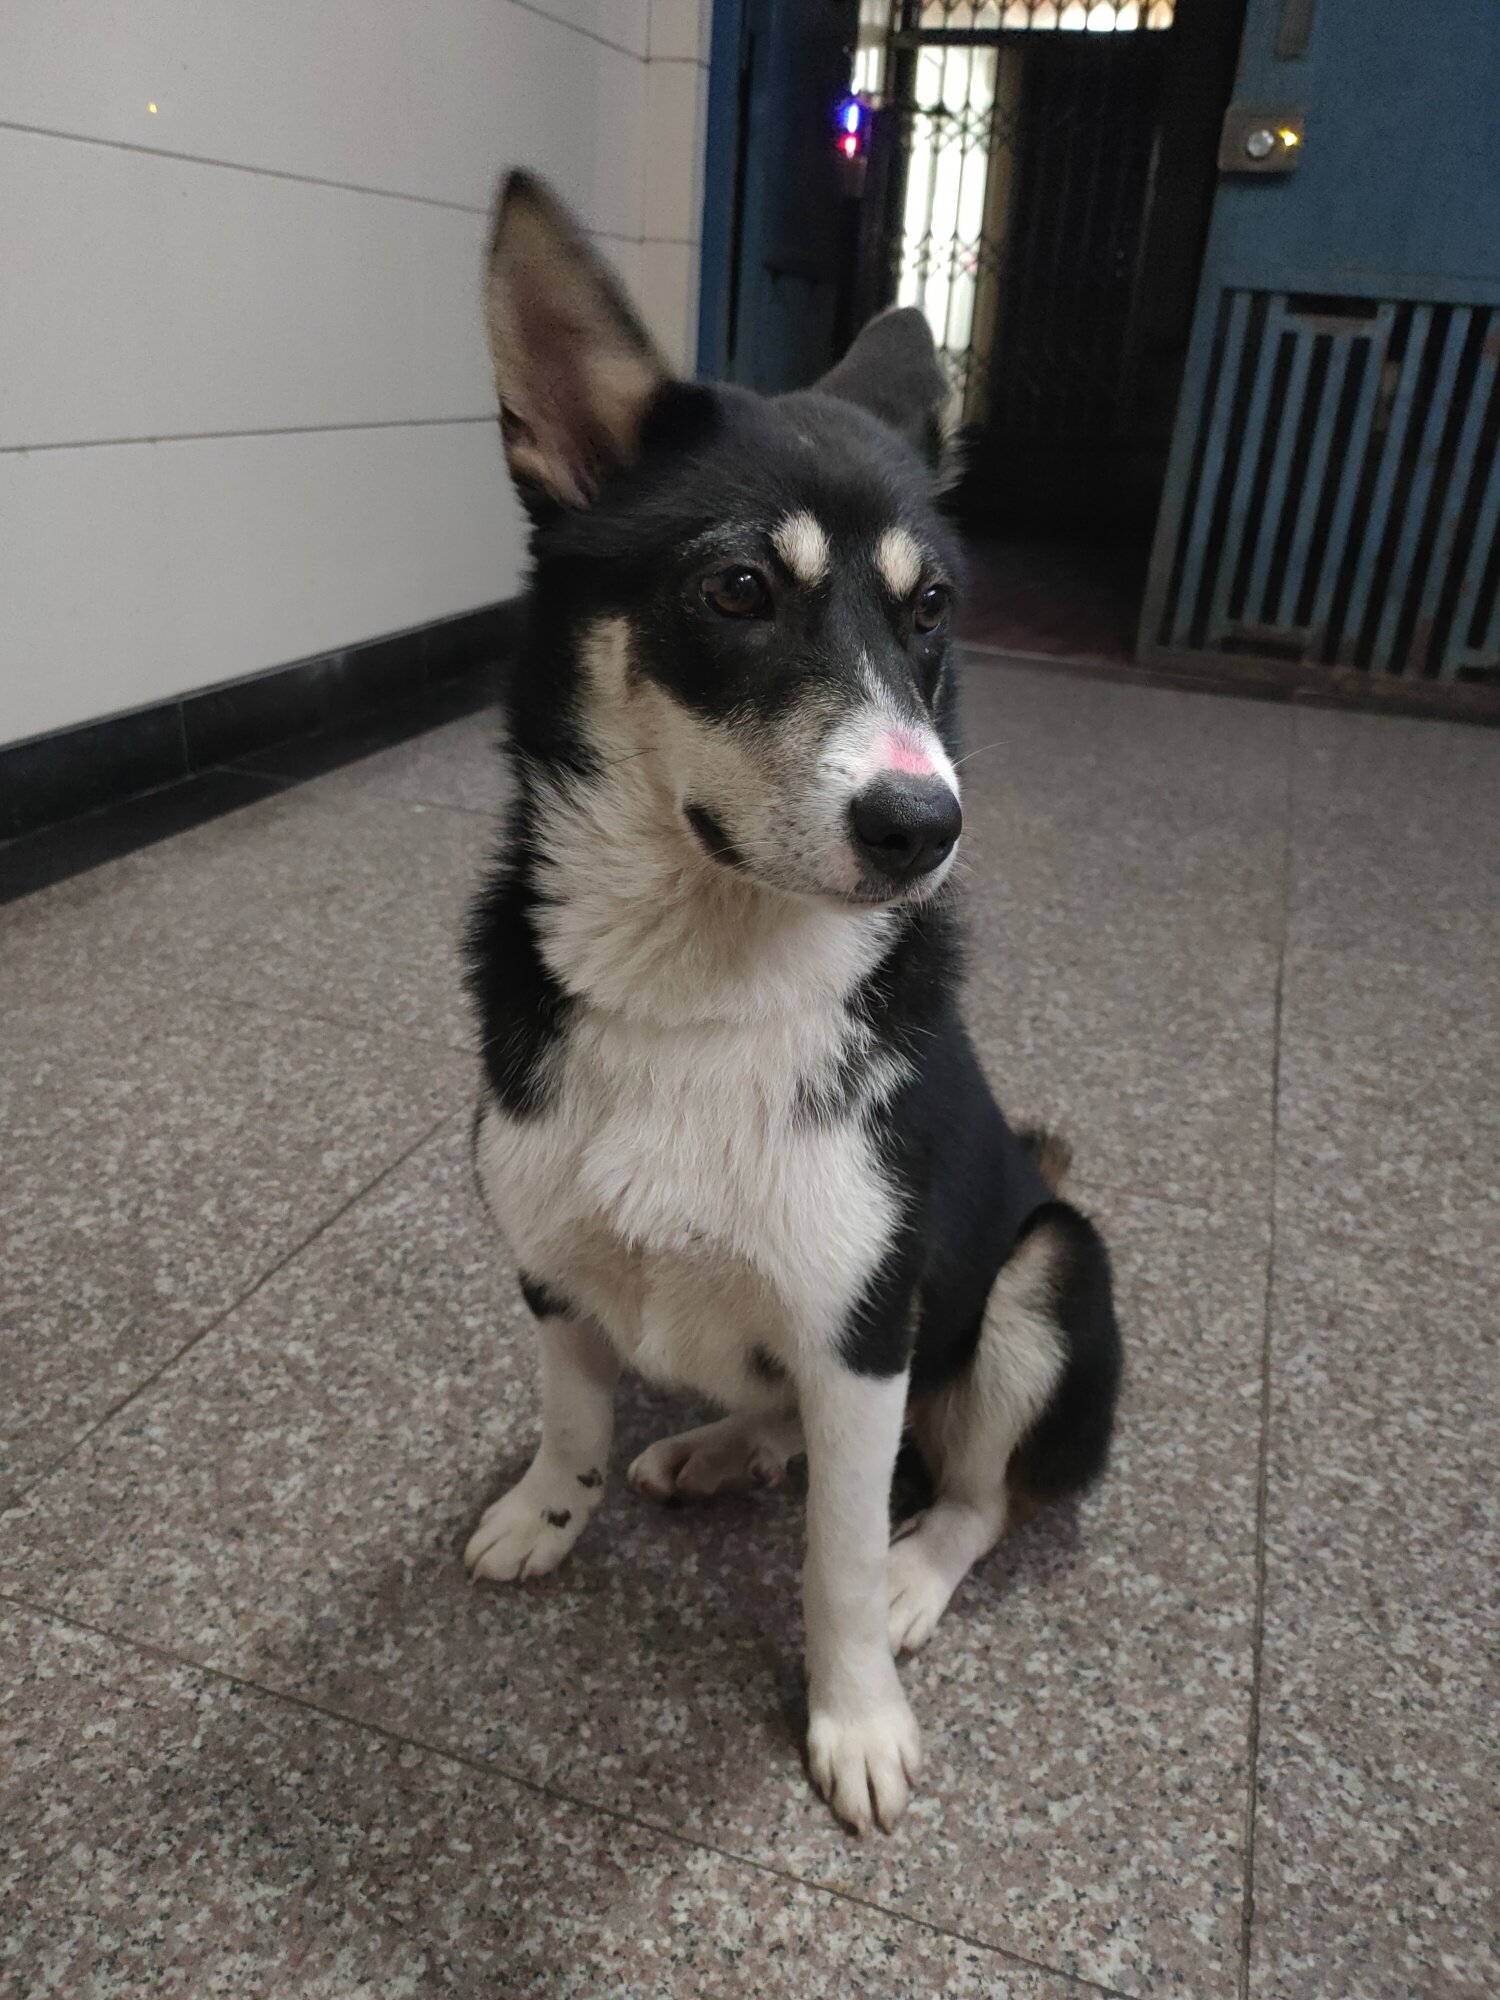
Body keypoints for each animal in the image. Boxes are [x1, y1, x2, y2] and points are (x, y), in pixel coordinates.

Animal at [462, 172, 1123, 1834]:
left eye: (933, 609)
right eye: (741, 588)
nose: (927, 825)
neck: (698, 982)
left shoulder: (864, 1322)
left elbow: (832, 1560)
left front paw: (856, 1716)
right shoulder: (553, 1260)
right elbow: (571, 1415)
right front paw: (545, 1512)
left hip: (1045, 1277)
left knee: (975, 1494)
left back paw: (913, 1572)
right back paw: (719, 1449)